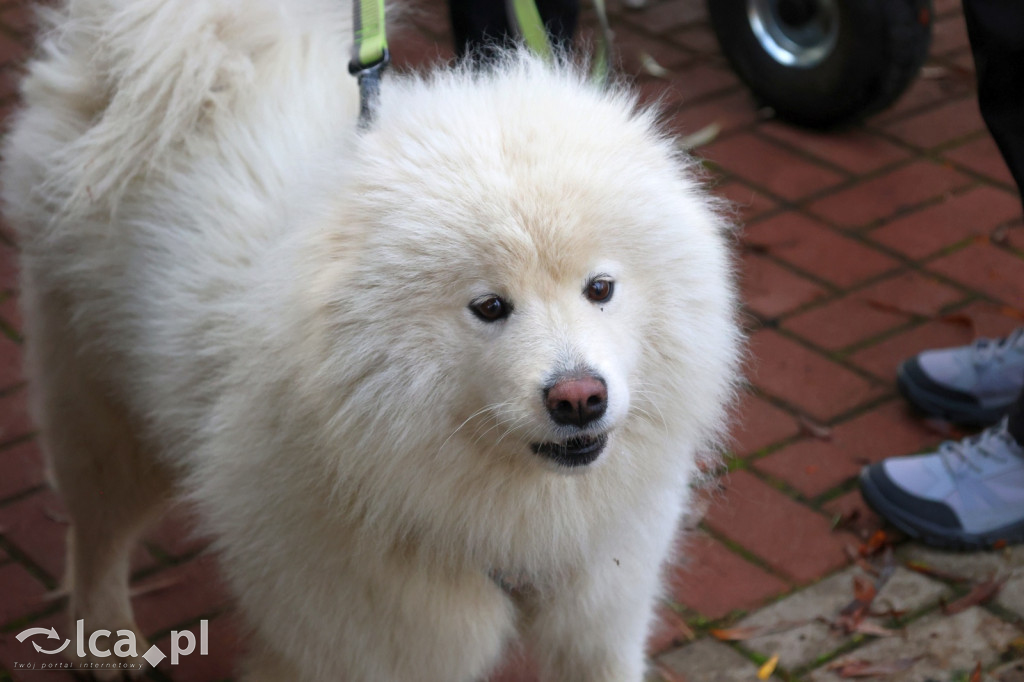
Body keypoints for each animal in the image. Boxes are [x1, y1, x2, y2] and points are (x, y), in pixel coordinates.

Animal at [0, 1, 741, 675]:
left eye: (600, 288)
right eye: (489, 306)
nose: (580, 397)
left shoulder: (601, 615)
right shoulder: (357, 637)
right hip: (101, 414)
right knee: (96, 532)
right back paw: (107, 638)